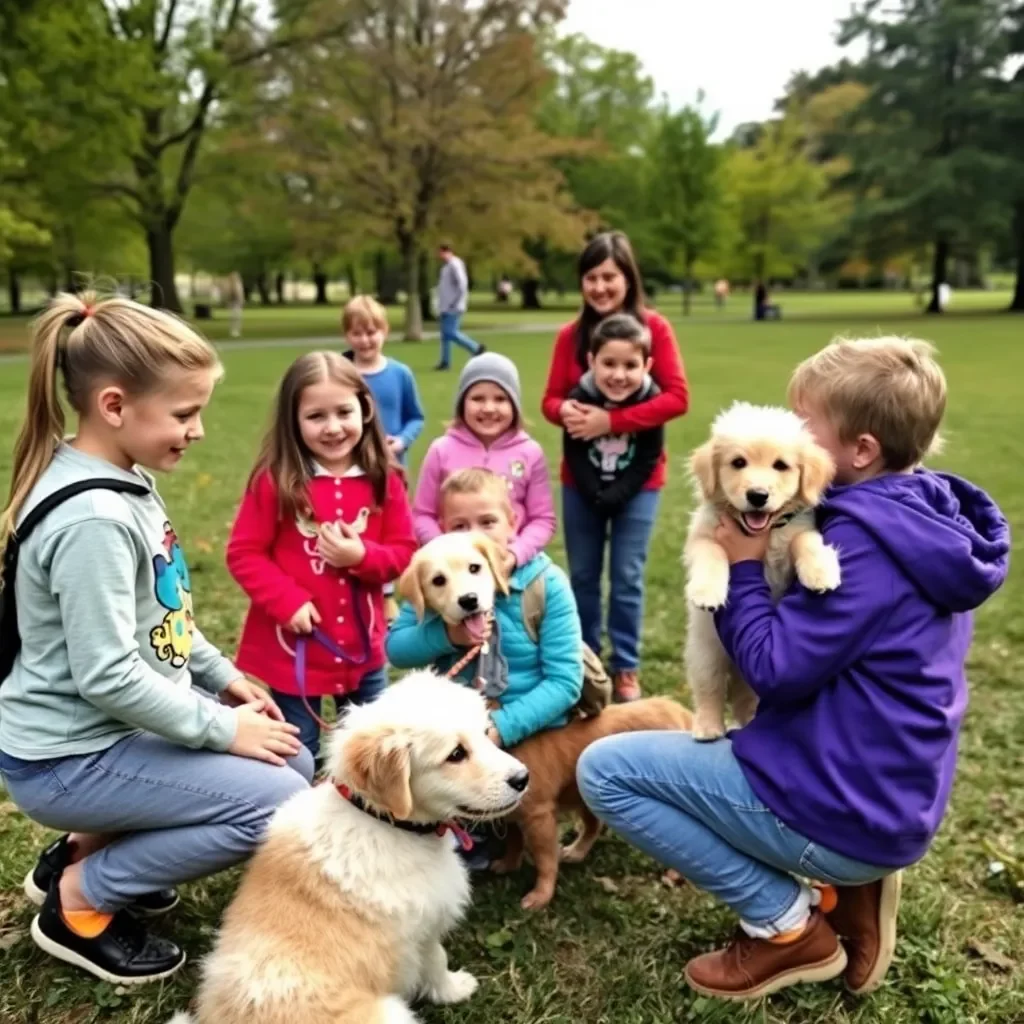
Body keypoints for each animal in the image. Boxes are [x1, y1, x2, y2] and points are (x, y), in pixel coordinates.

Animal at [166, 671, 528, 1024]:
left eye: (486, 733)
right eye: (456, 754)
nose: (523, 778)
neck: (383, 818)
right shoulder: (423, 928)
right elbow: (437, 959)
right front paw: (454, 989)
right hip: (390, 1014)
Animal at [489, 700, 696, 909]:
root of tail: (680, 712)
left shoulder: (539, 815)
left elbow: (545, 860)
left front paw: (540, 896)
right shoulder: (510, 815)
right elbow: (514, 842)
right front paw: (508, 865)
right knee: (593, 826)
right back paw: (575, 852)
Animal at [679, 403, 839, 741]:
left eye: (781, 465)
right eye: (738, 462)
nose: (757, 495)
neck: (761, 534)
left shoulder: (799, 527)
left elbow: (805, 540)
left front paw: (820, 571)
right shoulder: (702, 536)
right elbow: (712, 554)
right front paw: (707, 592)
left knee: (746, 704)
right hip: (705, 652)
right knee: (709, 690)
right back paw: (709, 727)